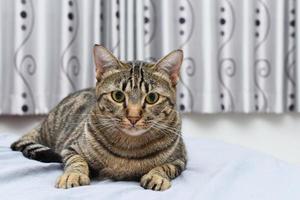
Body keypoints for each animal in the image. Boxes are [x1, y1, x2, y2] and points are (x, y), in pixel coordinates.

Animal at [10, 44, 186, 191]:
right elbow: (77, 161)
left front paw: (156, 176)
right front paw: (73, 174)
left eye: (152, 98)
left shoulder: (180, 158)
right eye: (118, 96)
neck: (129, 148)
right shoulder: (70, 148)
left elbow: (165, 167)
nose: (133, 117)